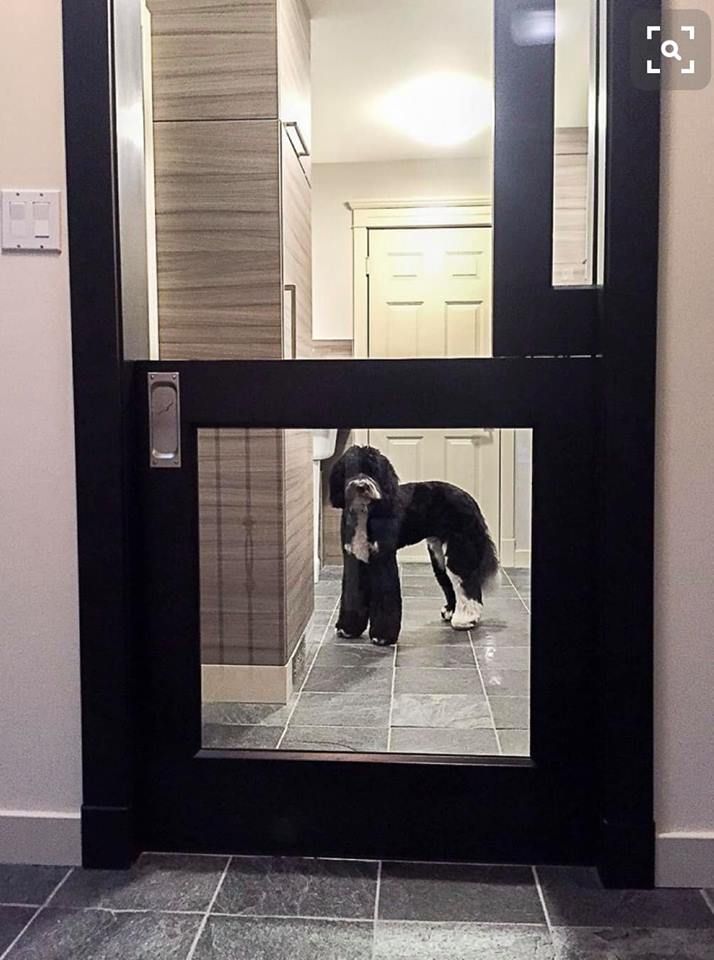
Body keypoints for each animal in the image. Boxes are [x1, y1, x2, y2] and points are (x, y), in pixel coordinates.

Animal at [328, 448, 496, 644]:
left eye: (373, 471)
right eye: (351, 470)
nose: (362, 486)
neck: (365, 512)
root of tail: (469, 499)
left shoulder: (383, 557)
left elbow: (386, 595)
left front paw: (382, 636)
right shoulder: (355, 558)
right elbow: (352, 594)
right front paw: (348, 629)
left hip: (459, 549)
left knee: (467, 582)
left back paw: (466, 619)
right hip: (438, 555)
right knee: (450, 584)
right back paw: (450, 611)